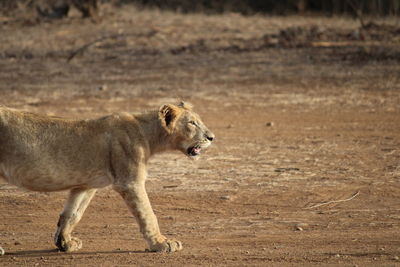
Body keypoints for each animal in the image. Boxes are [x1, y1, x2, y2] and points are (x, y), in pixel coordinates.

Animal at [0, 102, 216, 255]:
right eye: (192, 123)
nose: (212, 137)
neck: (147, 134)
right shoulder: (129, 182)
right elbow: (147, 214)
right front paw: (161, 243)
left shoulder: (86, 185)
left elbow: (72, 214)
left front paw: (65, 243)